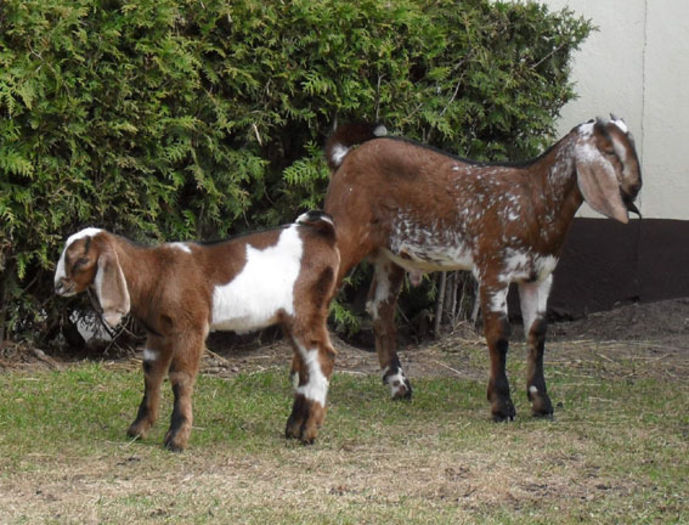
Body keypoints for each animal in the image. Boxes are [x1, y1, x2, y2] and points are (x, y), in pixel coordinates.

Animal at [55, 211, 340, 448]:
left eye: (81, 260)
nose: (59, 285)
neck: (157, 272)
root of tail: (322, 233)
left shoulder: (190, 326)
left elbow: (181, 376)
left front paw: (176, 438)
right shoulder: (159, 333)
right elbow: (151, 373)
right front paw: (138, 429)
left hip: (306, 309)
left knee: (323, 356)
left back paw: (308, 433)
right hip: (292, 319)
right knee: (305, 363)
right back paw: (294, 428)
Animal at [326, 116, 644, 420]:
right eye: (609, 150)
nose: (635, 187)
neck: (534, 199)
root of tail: (347, 157)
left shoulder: (539, 276)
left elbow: (537, 333)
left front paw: (541, 404)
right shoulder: (494, 270)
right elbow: (499, 333)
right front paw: (502, 405)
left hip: (389, 257)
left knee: (380, 309)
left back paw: (399, 386)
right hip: (346, 235)